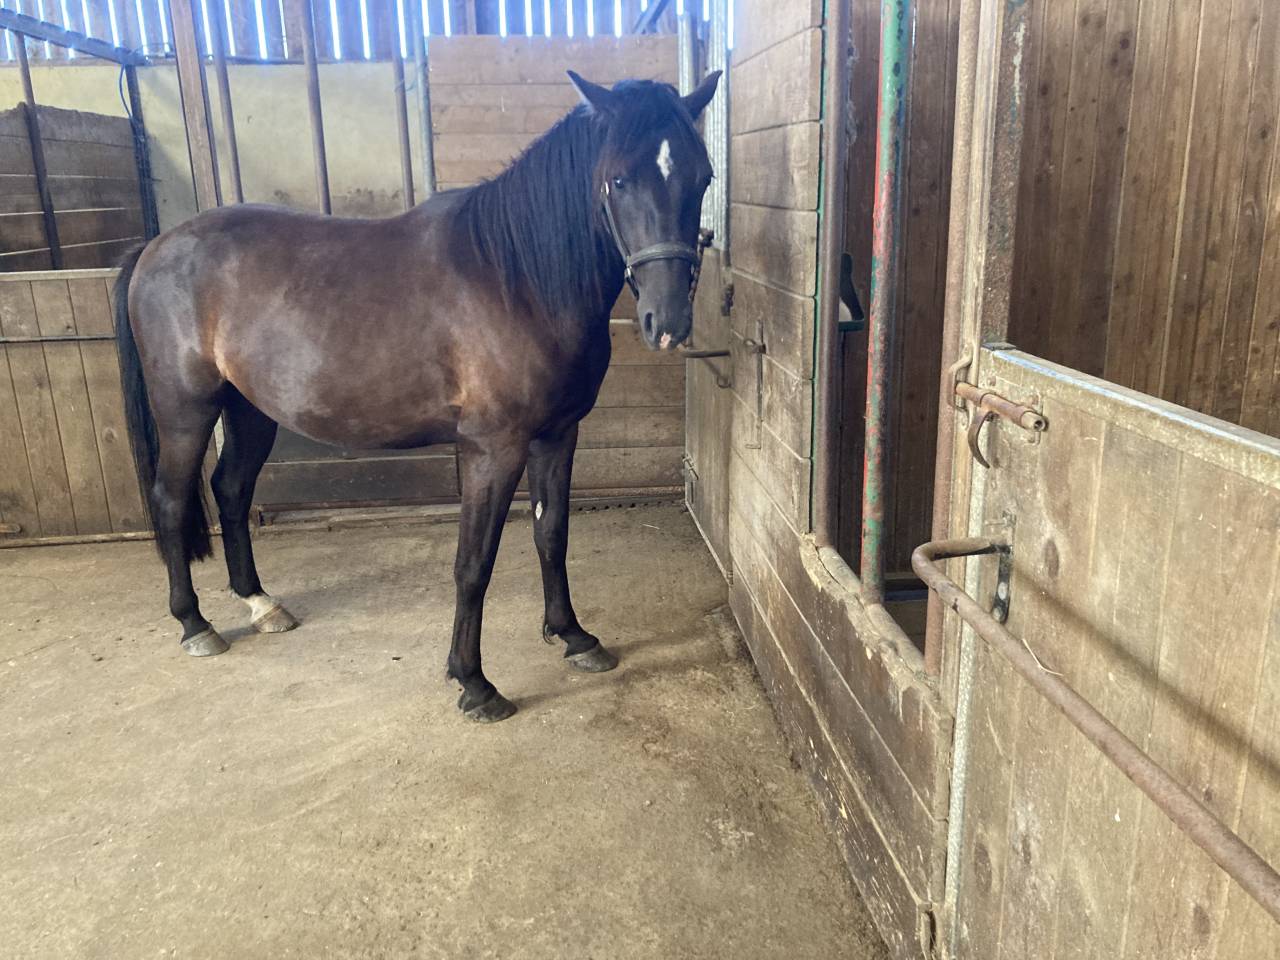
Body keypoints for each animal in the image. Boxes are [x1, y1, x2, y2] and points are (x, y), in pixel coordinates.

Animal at [112, 69, 722, 722]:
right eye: (619, 179)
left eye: (703, 177)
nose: (668, 321)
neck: (514, 279)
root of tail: (156, 247)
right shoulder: (492, 449)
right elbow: (474, 563)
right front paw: (474, 682)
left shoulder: (558, 435)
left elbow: (551, 535)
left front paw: (573, 636)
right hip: (187, 411)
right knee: (172, 499)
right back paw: (194, 624)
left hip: (250, 410)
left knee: (229, 490)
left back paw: (260, 604)